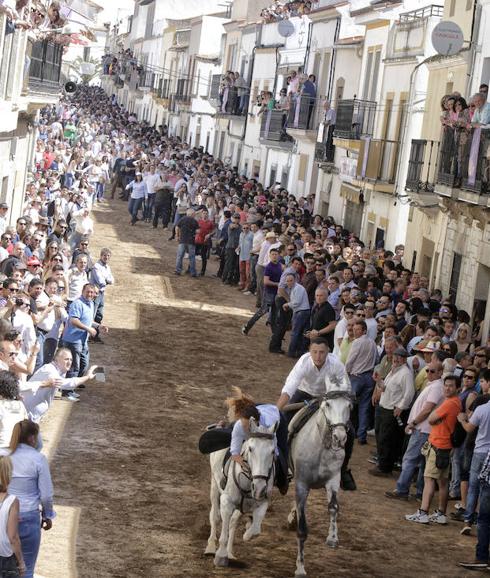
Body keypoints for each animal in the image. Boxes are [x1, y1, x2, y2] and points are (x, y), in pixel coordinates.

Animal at [205, 416, 278, 564]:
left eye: (273, 451)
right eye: (250, 449)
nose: (259, 488)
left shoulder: (263, 502)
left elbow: (256, 529)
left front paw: (247, 533)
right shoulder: (226, 502)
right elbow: (223, 530)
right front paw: (220, 555)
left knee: (233, 522)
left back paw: (230, 553)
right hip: (214, 485)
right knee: (214, 516)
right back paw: (210, 547)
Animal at [288, 388, 352, 576]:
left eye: (349, 406)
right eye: (328, 404)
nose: (340, 437)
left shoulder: (333, 480)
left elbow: (333, 507)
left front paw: (333, 538)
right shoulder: (301, 484)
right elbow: (302, 529)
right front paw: (300, 568)